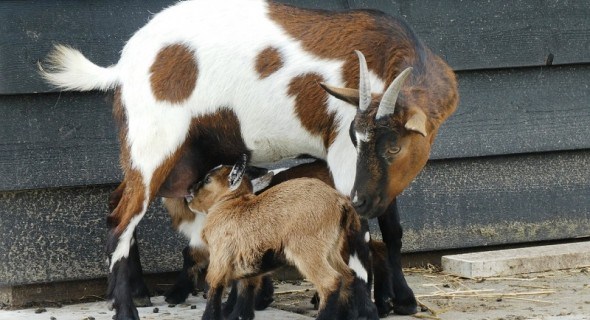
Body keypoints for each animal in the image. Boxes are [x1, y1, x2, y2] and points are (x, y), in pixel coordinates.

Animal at [190, 156, 380, 320]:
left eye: (207, 179)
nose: (189, 192)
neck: (230, 204)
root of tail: (340, 202)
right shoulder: (248, 263)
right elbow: (246, 289)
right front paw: (240, 316)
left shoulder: (220, 257)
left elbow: (215, 287)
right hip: (331, 249)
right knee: (349, 275)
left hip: (307, 250)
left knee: (330, 281)